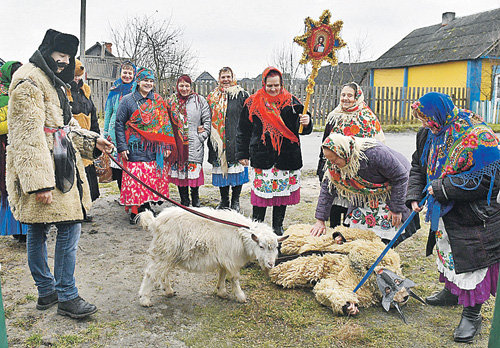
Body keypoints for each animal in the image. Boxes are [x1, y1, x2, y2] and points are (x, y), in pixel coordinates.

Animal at [139, 207, 288, 308]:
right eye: (261, 246)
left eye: (276, 247)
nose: (270, 264)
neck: (241, 235)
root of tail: (156, 221)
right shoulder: (231, 260)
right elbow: (234, 278)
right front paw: (240, 296)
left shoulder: (224, 259)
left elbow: (222, 274)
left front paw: (221, 292)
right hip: (164, 252)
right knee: (151, 273)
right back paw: (145, 300)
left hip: (168, 255)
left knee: (163, 273)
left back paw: (169, 291)